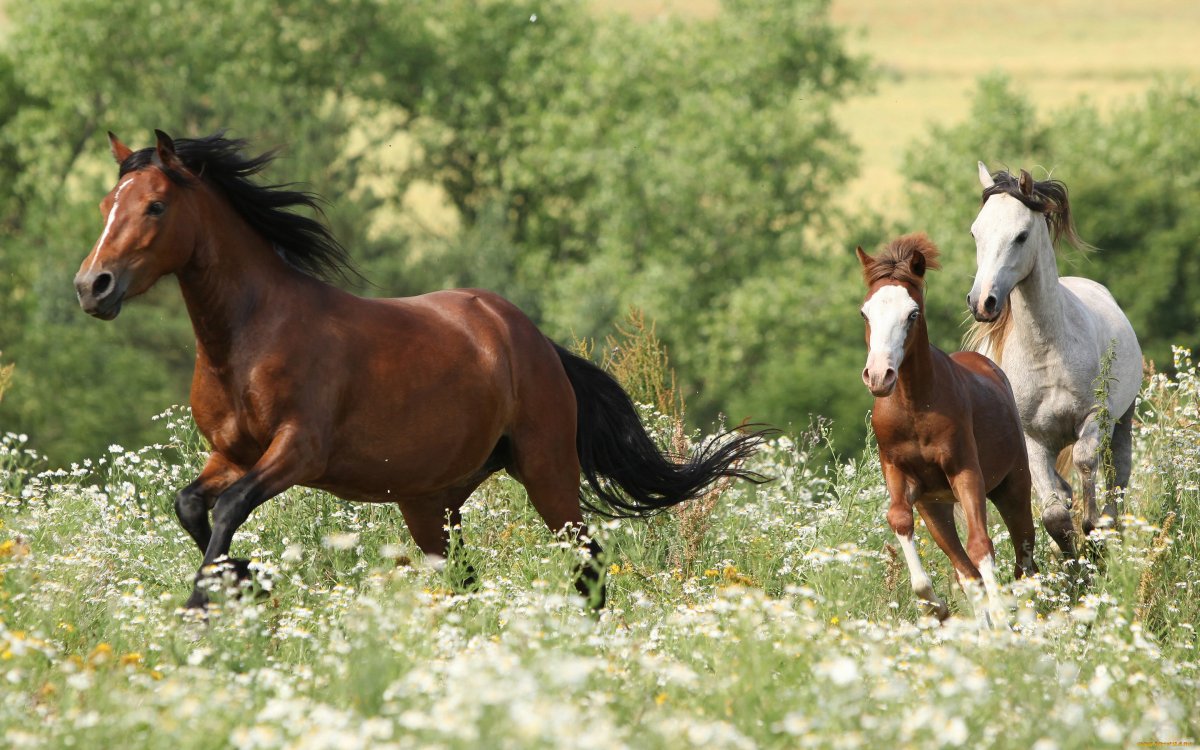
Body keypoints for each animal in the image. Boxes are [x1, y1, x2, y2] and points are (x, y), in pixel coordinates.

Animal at [75, 130, 763, 609]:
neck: (248, 338)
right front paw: (244, 579)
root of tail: (533, 339)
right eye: (108, 202)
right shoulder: (231, 454)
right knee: (466, 577)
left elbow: (227, 510)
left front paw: (209, 596)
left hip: (547, 472)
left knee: (588, 563)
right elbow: (190, 505)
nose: (92, 286)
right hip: (432, 502)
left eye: (155, 206)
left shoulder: (298, 450)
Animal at [859, 232, 1036, 619]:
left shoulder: (965, 472)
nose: (879, 375)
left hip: (1013, 485)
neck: (914, 407)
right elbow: (900, 519)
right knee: (967, 572)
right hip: (937, 507)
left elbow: (982, 545)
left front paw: (1002, 621)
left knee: (1025, 560)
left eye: (912, 313)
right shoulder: (901, 475)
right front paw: (934, 606)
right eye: (865, 312)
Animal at [960, 165, 1137, 556]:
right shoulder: (1032, 440)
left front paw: (1094, 533)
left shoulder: (1095, 417)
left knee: (1118, 477)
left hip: (1124, 419)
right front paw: (1075, 561)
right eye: (975, 232)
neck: (1046, 355)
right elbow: (1055, 515)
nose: (982, 302)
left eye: (1021, 236)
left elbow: (1085, 462)